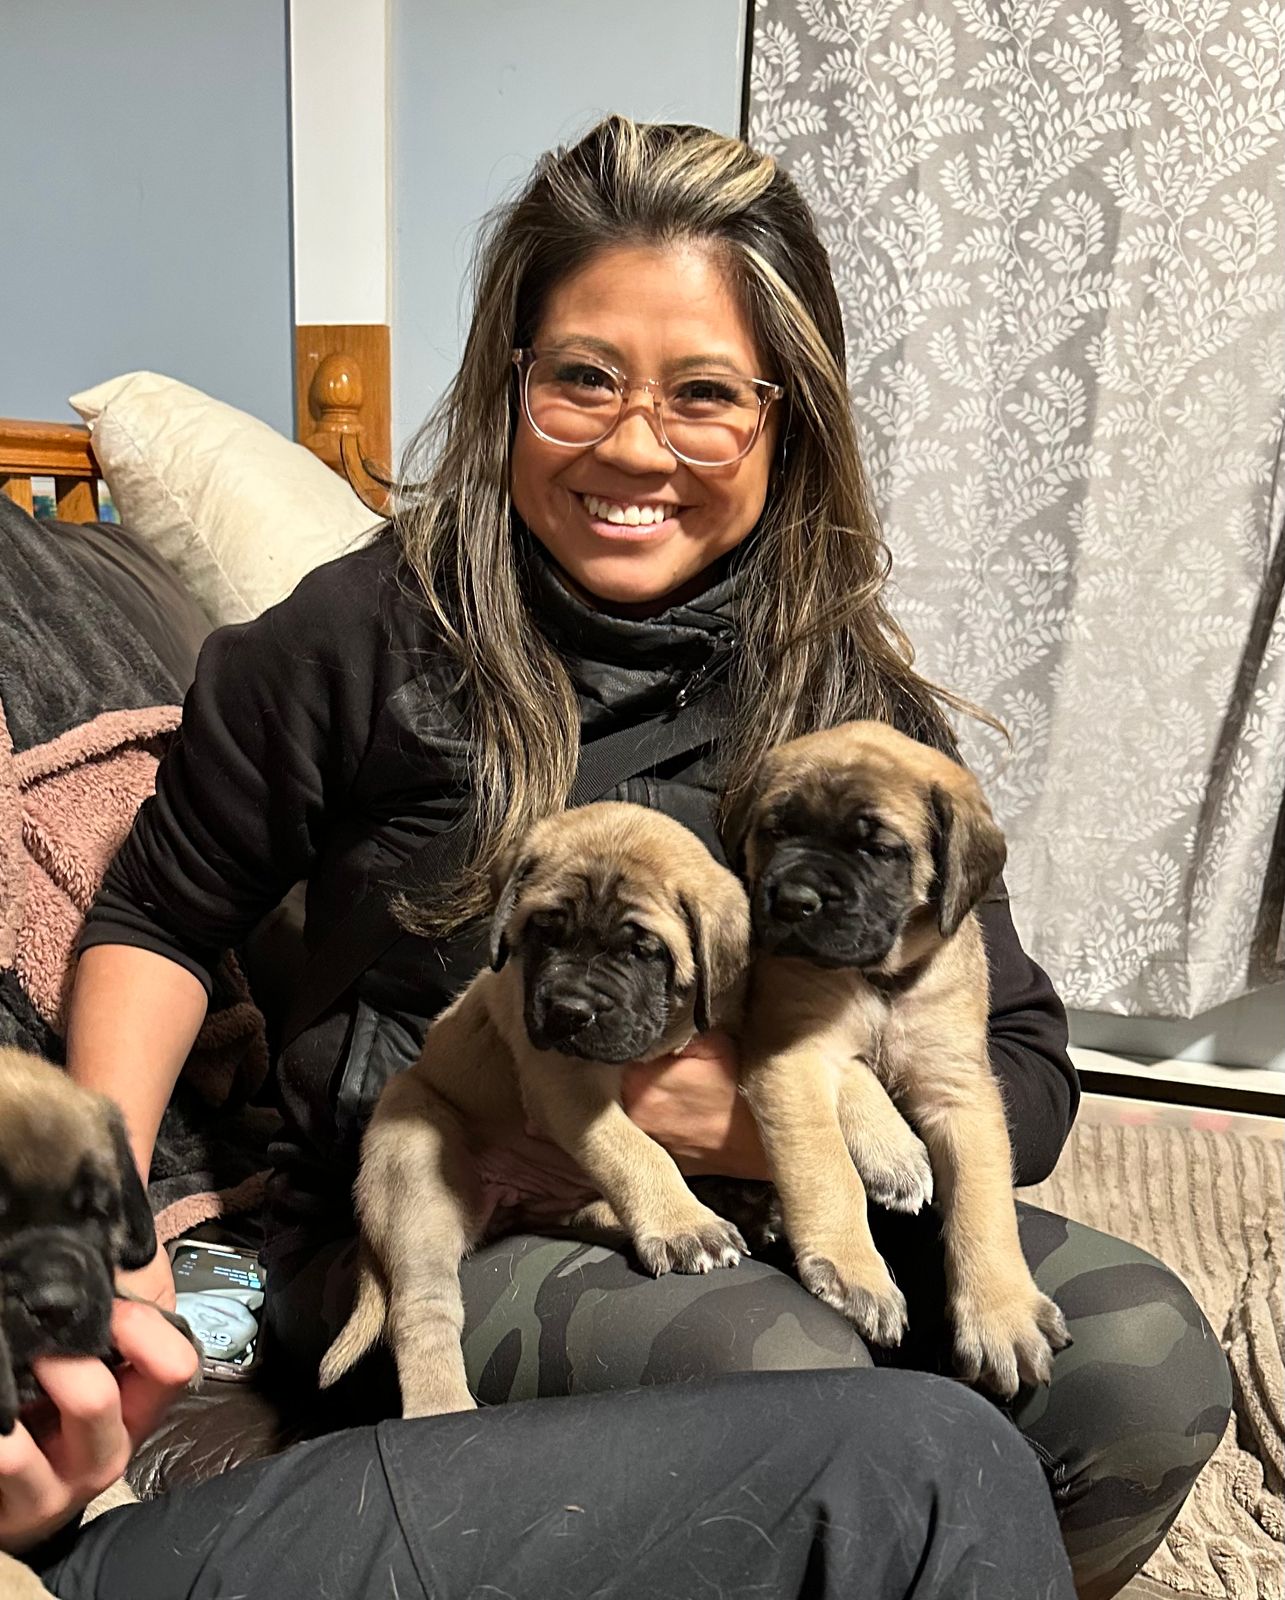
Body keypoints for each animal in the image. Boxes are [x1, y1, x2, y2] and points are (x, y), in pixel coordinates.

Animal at [319, 801, 755, 1418]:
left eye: (642, 949)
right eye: (544, 931)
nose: (568, 1011)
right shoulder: (566, 1086)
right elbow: (637, 1150)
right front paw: (684, 1225)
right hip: (415, 1164)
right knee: (421, 1310)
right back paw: (439, 1409)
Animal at [726, 721, 1069, 1397]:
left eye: (878, 848)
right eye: (775, 830)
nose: (793, 901)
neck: (882, 980)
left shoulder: (963, 1091)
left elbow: (986, 1207)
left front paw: (1002, 1315)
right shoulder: (789, 1051)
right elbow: (826, 1162)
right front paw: (856, 1269)